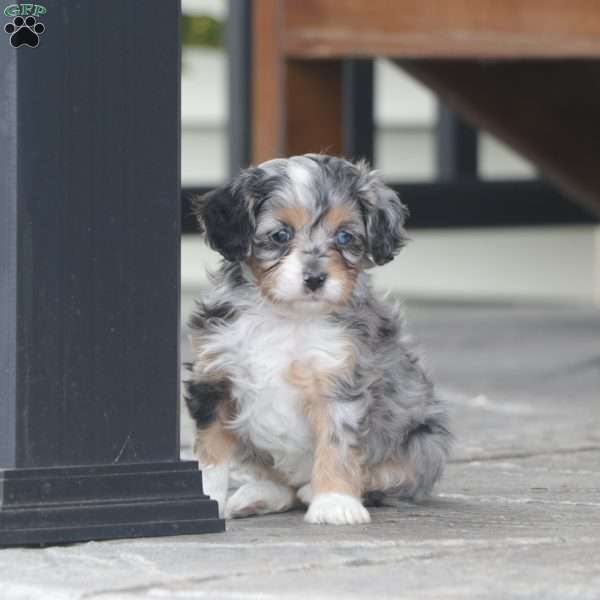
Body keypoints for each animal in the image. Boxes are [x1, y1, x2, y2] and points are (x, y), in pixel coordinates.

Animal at [184, 154, 450, 524]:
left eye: (344, 236)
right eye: (280, 234)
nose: (315, 279)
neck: (288, 317)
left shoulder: (340, 381)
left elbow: (337, 445)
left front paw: (335, 501)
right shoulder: (215, 379)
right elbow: (211, 454)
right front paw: (208, 499)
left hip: (425, 441)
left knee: (388, 477)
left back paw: (314, 490)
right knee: (281, 486)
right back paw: (256, 497)